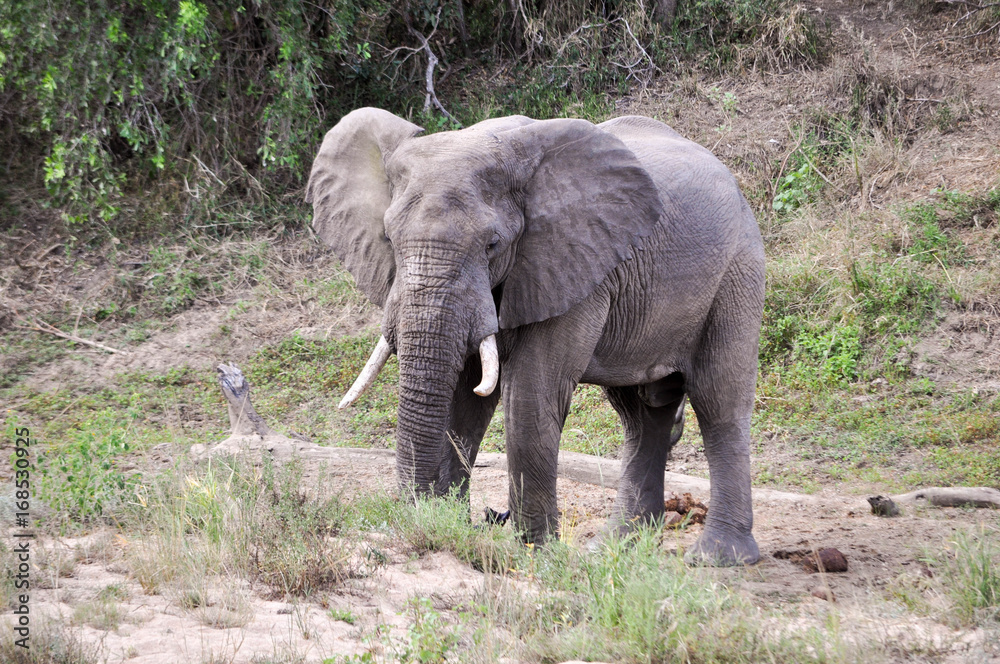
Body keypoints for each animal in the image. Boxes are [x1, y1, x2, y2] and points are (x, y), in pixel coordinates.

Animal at [306, 108, 765, 566]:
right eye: (388, 238)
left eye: (492, 244)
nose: (420, 513)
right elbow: (464, 401)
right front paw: (450, 525)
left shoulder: (570, 261)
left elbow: (528, 395)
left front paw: (535, 553)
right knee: (641, 415)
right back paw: (613, 546)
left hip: (737, 271)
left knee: (717, 400)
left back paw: (720, 558)